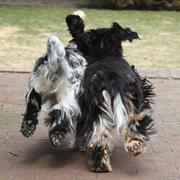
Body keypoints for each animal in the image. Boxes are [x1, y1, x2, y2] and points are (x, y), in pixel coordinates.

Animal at [65, 14, 155, 172]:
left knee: (99, 138)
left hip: (98, 114)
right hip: (136, 106)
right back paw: (134, 146)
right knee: (136, 126)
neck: (103, 52)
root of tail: (112, 81)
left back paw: (101, 166)